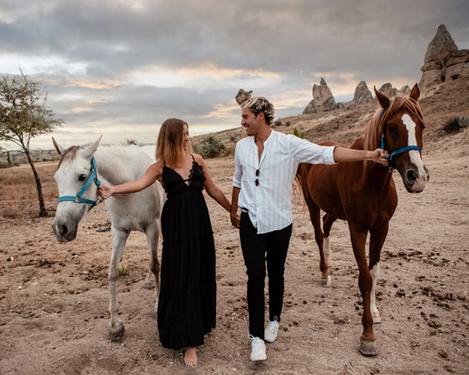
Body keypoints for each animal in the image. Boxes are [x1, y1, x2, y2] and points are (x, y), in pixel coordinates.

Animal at [50, 139, 165, 344]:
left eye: (82, 176)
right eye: (56, 178)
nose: (60, 228)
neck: (127, 186)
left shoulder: (152, 227)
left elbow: (154, 265)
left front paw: (158, 306)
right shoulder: (119, 231)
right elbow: (112, 271)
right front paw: (115, 325)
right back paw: (149, 282)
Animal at [296, 83, 428, 356]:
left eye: (421, 125)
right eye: (392, 127)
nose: (417, 177)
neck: (372, 181)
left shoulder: (381, 228)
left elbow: (374, 272)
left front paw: (375, 313)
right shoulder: (357, 229)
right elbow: (365, 278)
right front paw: (367, 336)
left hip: (334, 210)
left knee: (326, 227)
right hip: (313, 205)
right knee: (318, 235)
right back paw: (324, 273)